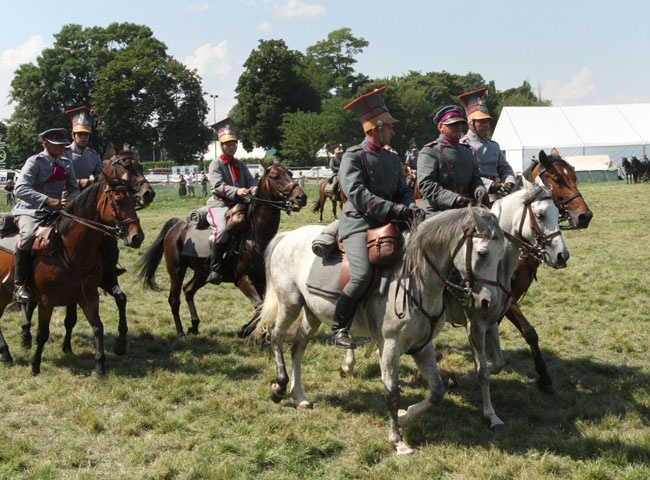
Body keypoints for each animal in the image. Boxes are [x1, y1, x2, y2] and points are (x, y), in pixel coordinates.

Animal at [0, 171, 143, 376]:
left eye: (134, 200)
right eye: (118, 199)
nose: (137, 237)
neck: (69, 249)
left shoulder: (89, 294)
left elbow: (97, 325)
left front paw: (100, 365)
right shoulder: (47, 300)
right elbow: (43, 333)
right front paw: (35, 365)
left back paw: (9, 351)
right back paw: (11, 349)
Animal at [135, 160, 306, 338]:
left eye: (290, 173)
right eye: (275, 176)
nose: (301, 197)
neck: (255, 235)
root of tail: (176, 226)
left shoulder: (262, 281)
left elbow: (266, 307)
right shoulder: (243, 279)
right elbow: (259, 306)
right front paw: (244, 330)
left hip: (202, 273)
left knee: (188, 290)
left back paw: (194, 325)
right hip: (176, 270)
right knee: (174, 299)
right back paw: (181, 332)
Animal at [256, 205, 504, 454]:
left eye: (501, 253)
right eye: (482, 253)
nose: (488, 302)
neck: (415, 280)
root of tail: (288, 235)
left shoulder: (423, 346)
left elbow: (436, 392)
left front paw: (405, 416)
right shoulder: (391, 346)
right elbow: (392, 393)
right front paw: (397, 440)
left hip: (312, 313)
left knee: (297, 347)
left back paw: (299, 397)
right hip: (290, 304)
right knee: (276, 336)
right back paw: (279, 386)